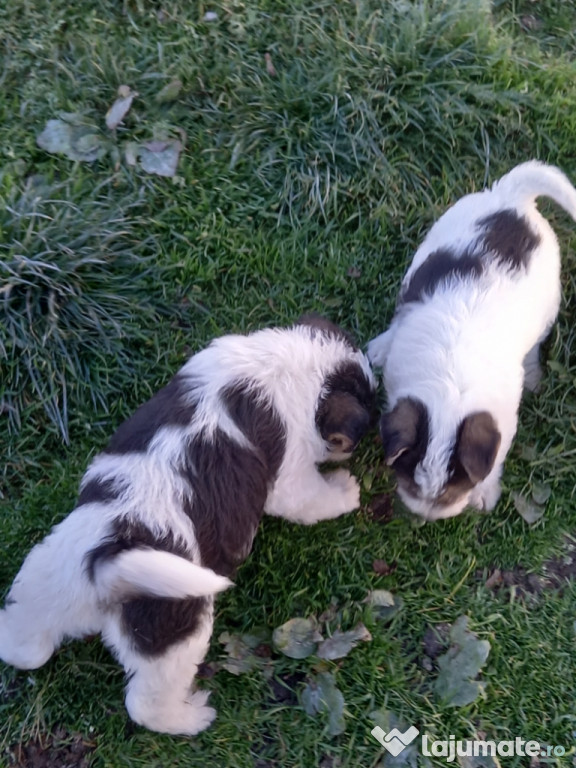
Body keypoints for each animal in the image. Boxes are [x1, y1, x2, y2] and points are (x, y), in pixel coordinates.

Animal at [0, 314, 376, 736]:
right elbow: (312, 497)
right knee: (146, 704)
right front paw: (345, 489)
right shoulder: (292, 474)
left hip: (45, 580)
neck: (287, 363)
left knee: (20, 640)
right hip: (177, 634)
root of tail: (106, 563)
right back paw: (193, 716)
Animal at [366, 162, 576, 520]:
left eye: (452, 491)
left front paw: (484, 493)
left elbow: (495, 461)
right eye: (412, 485)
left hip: (549, 299)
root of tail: (511, 197)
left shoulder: (502, 422)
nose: (427, 516)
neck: (449, 393)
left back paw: (534, 372)